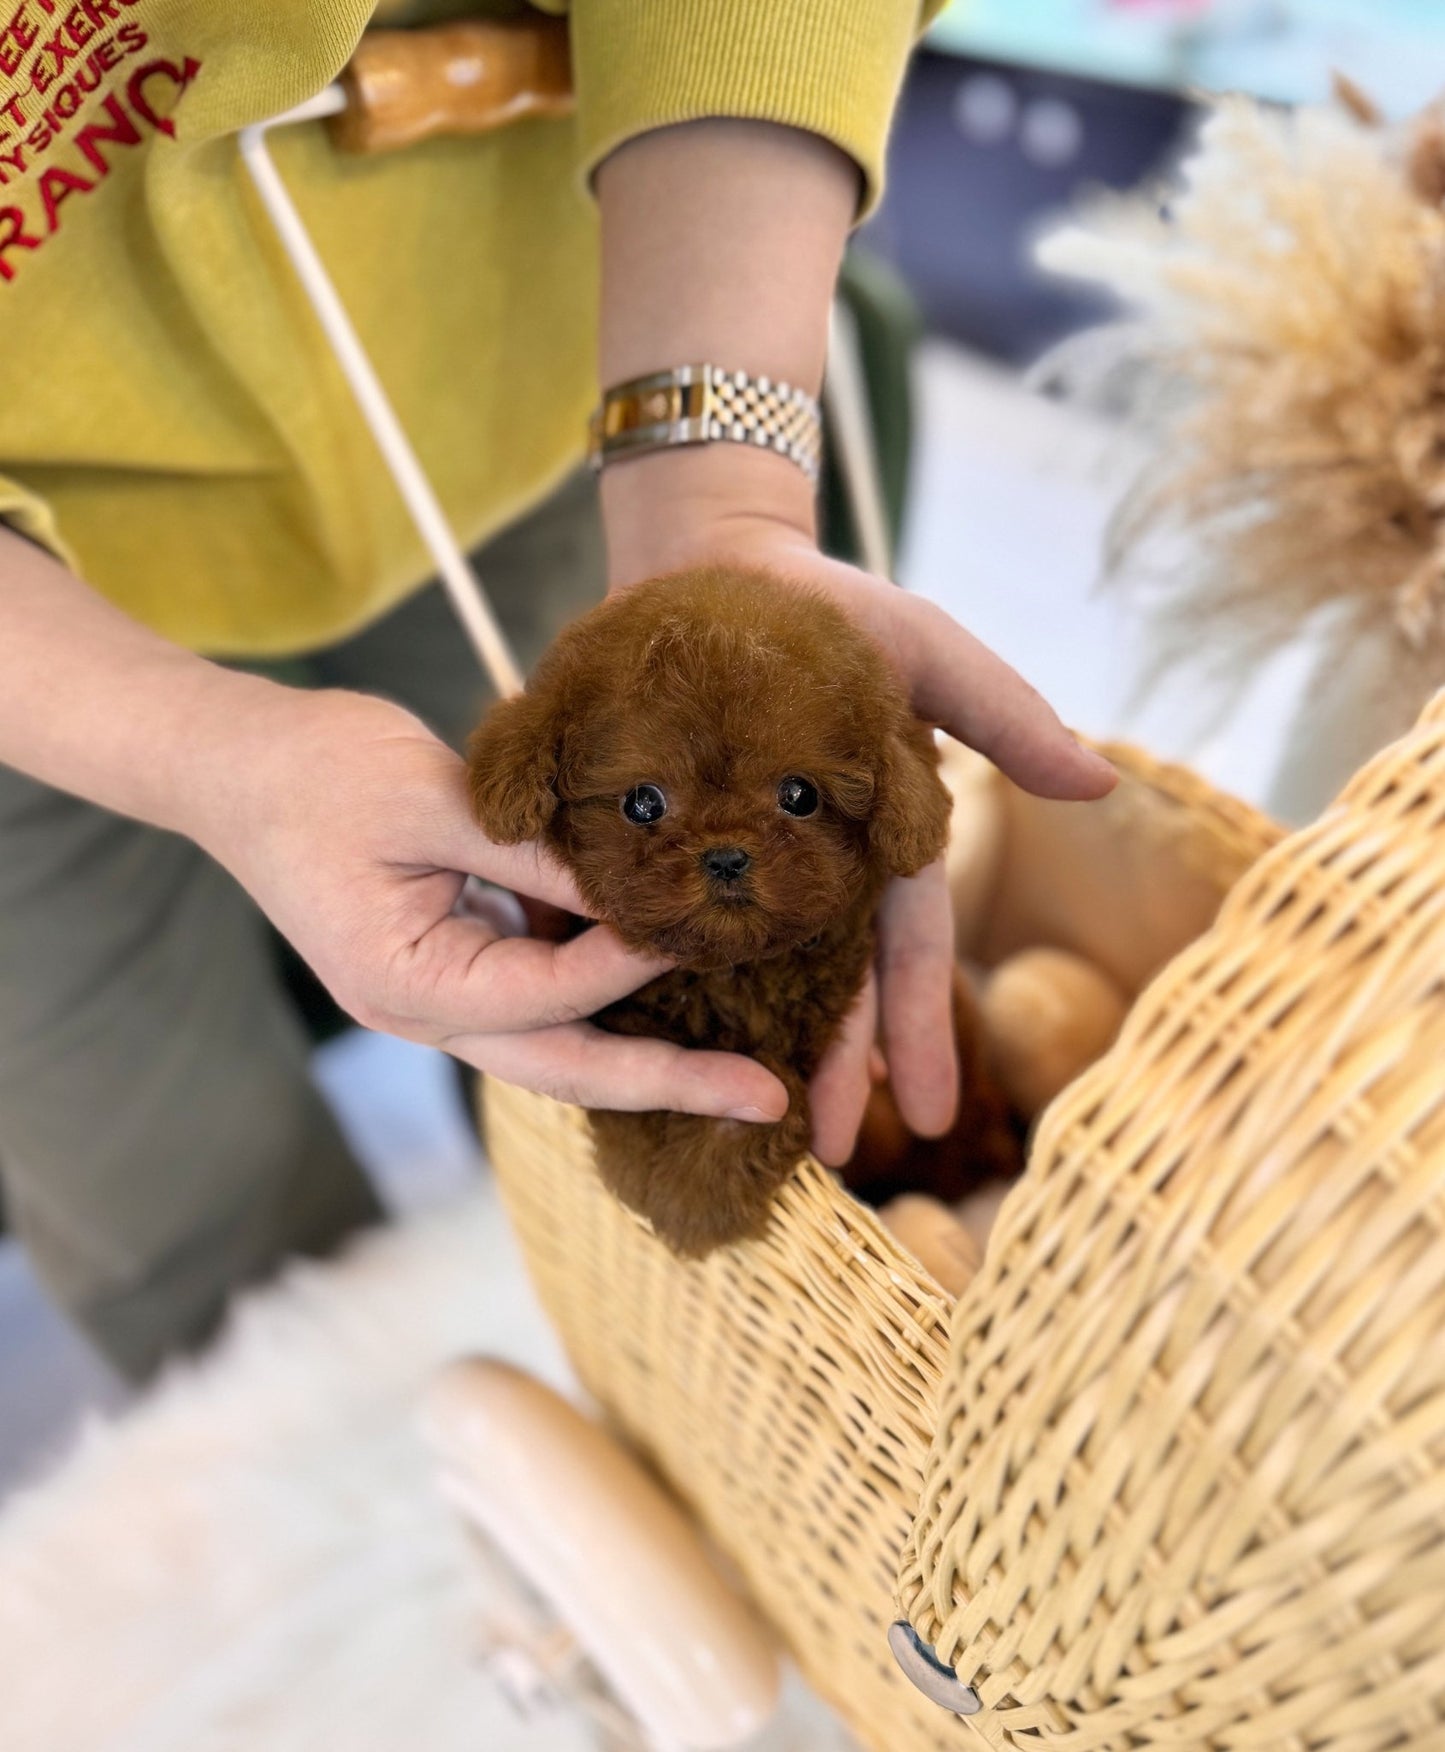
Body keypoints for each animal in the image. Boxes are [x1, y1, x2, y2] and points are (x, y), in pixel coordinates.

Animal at [469, 571, 952, 1261]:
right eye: (643, 802)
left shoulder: (794, 1034)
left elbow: (760, 1102)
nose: (725, 856)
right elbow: (632, 1104)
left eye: (799, 795)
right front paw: (645, 1179)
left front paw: (692, 1201)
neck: (725, 969)